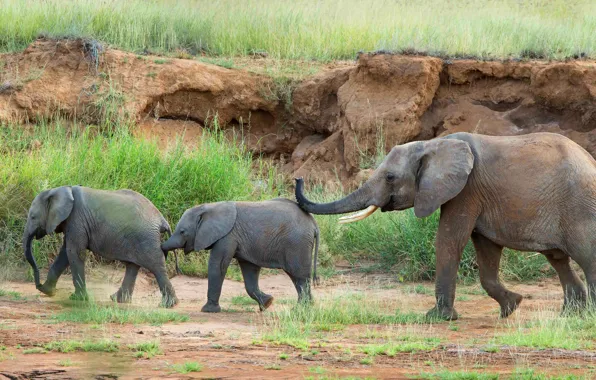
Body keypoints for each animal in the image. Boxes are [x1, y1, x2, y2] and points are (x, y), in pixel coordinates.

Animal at [24, 186, 178, 308]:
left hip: (146, 238)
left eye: (32, 217)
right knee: (132, 266)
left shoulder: (76, 220)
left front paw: (77, 299)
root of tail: (162, 220)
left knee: (156, 266)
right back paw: (117, 300)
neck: (60, 190)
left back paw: (168, 305)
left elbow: (74, 252)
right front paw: (47, 291)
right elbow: (65, 254)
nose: (38, 285)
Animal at [161, 199, 318, 312]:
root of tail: (313, 224)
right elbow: (250, 272)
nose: (162, 248)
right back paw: (305, 307)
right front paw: (267, 303)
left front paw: (208, 310)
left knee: (299, 276)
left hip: (297, 244)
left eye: (182, 231)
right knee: (298, 277)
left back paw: (301, 308)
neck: (210, 207)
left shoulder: (227, 236)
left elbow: (217, 266)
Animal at [296, 132, 596, 320]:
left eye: (390, 177)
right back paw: (570, 314)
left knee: (586, 256)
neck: (432, 144)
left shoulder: (466, 190)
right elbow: (486, 249)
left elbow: (450, 239)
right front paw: (511, 307)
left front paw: (437, 318)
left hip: (579, 208)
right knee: (558, 258)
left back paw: (588, 315)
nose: (298, 179)